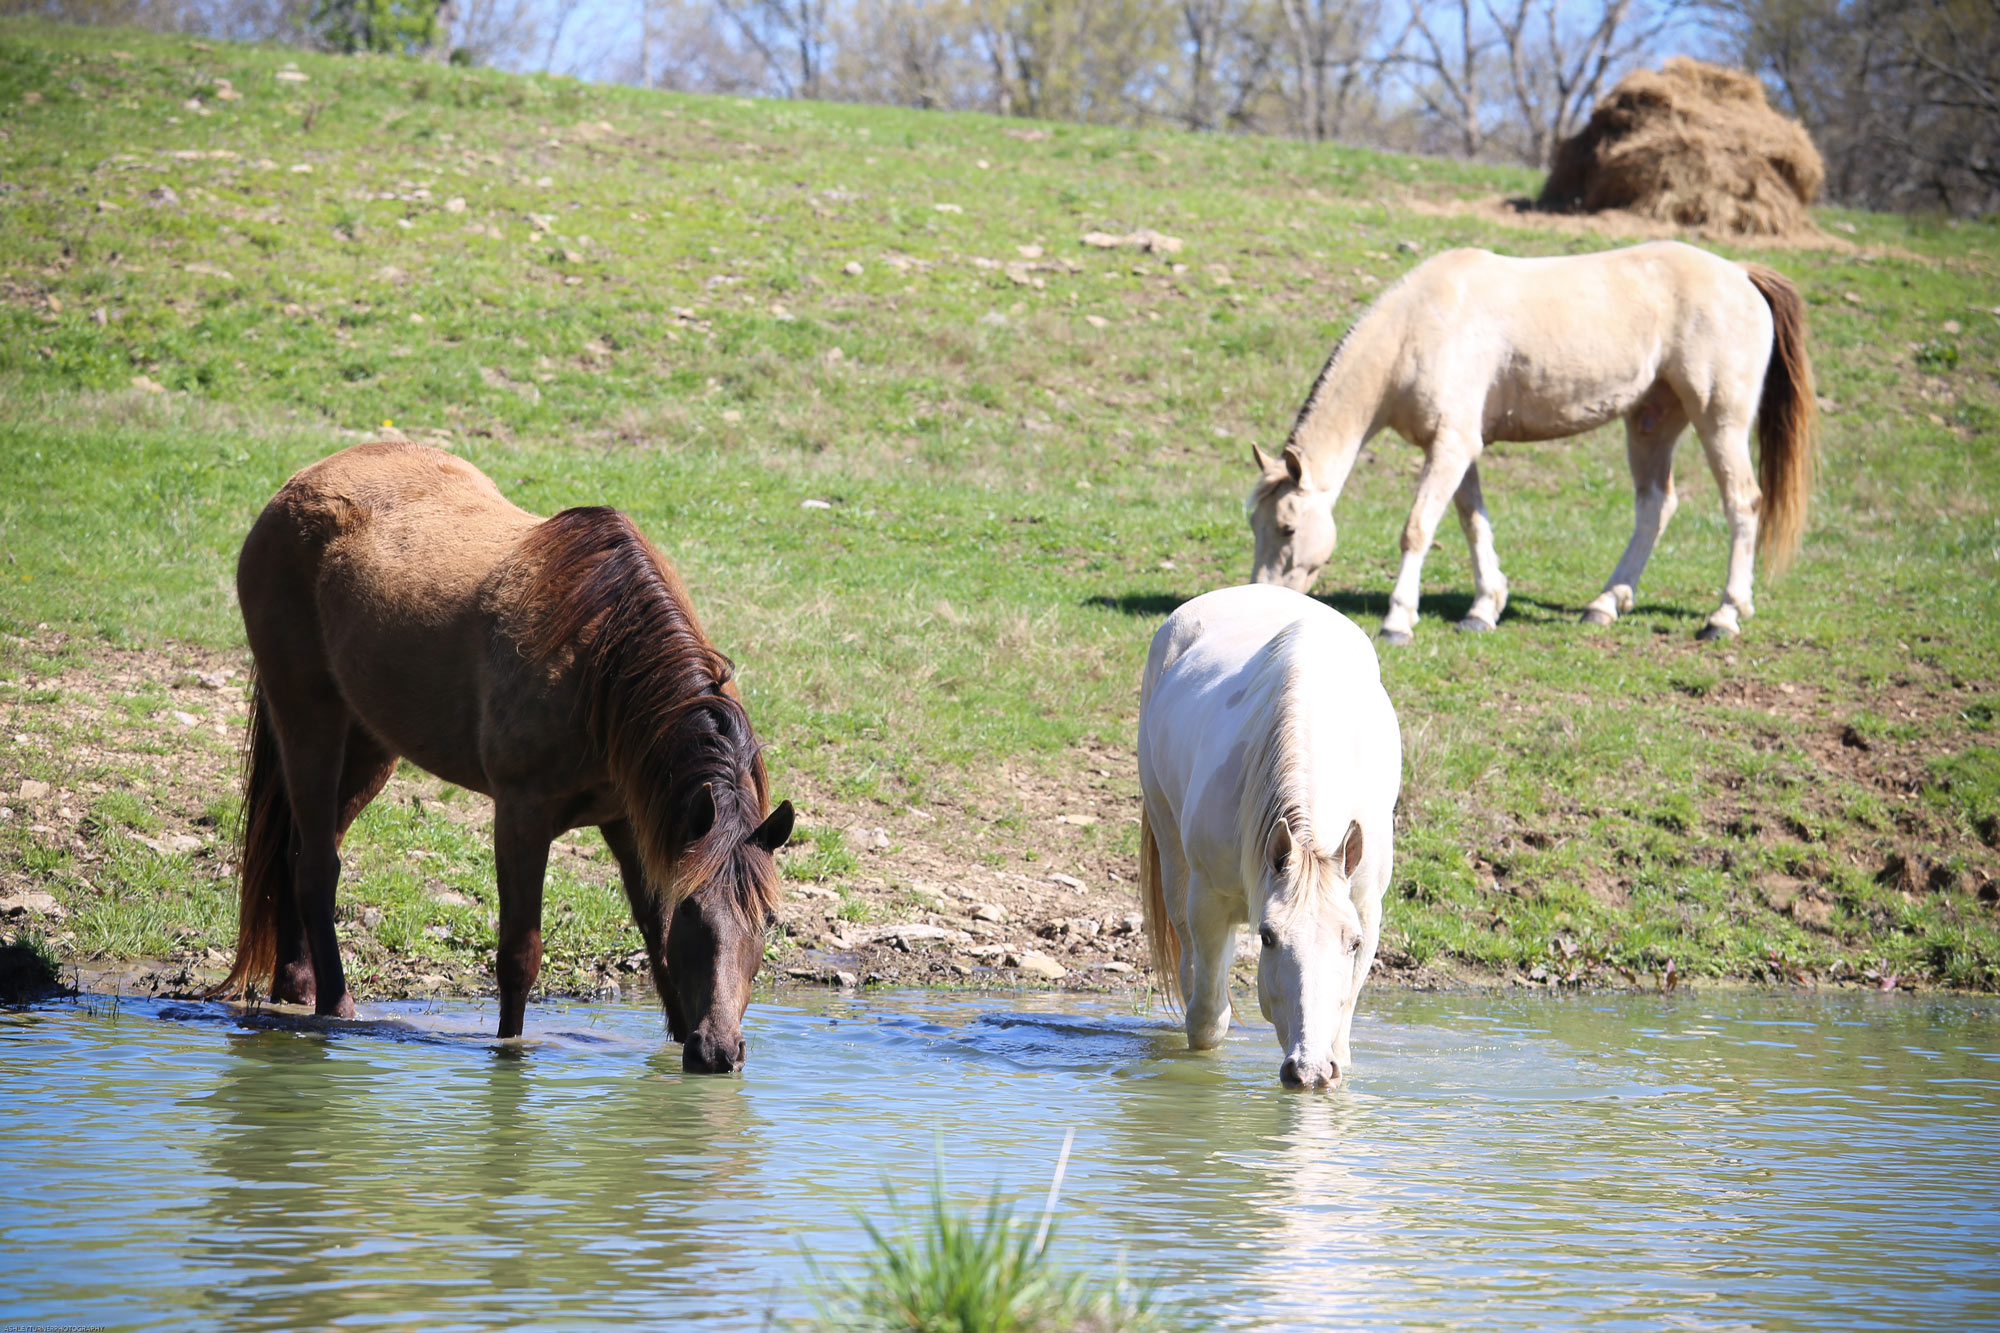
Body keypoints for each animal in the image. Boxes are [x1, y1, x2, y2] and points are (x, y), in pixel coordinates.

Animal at [211, 438, 788, 1072]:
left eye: (767, 920)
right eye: (694, 910)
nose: (720, 1052)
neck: (601, 666)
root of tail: (296, 487)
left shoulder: (634, 820)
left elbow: (658, 948)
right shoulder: (521, 815)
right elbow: (519, 956)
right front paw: (510, 1058)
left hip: (368, 745)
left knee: (295, 854)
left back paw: (295, 986)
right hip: (308, 718)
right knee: (317, 865)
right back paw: (336, 1010)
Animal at [1144, 588, 1408, 1088]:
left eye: (1353, 942)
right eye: (1267, 937)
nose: (1308, 1071)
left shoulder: (1367, 907)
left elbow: (1342, 1036)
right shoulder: (1207, 901)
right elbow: (1207, 1021)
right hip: (1169, 848)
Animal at [1240, 245, 1824, 648]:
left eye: (1287, 527)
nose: (1260, 598)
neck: (1420, 328)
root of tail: (1741, 273)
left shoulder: (1451, 448)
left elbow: (1418, 529)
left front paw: (1398, 620)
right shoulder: (1458, 449)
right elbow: (1472, 523)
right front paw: (1484, 609)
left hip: (1718, 420)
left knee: (1742, 503)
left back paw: (1725, 615)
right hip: (1651, 423)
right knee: (1656, 507)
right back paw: (1605, 604)